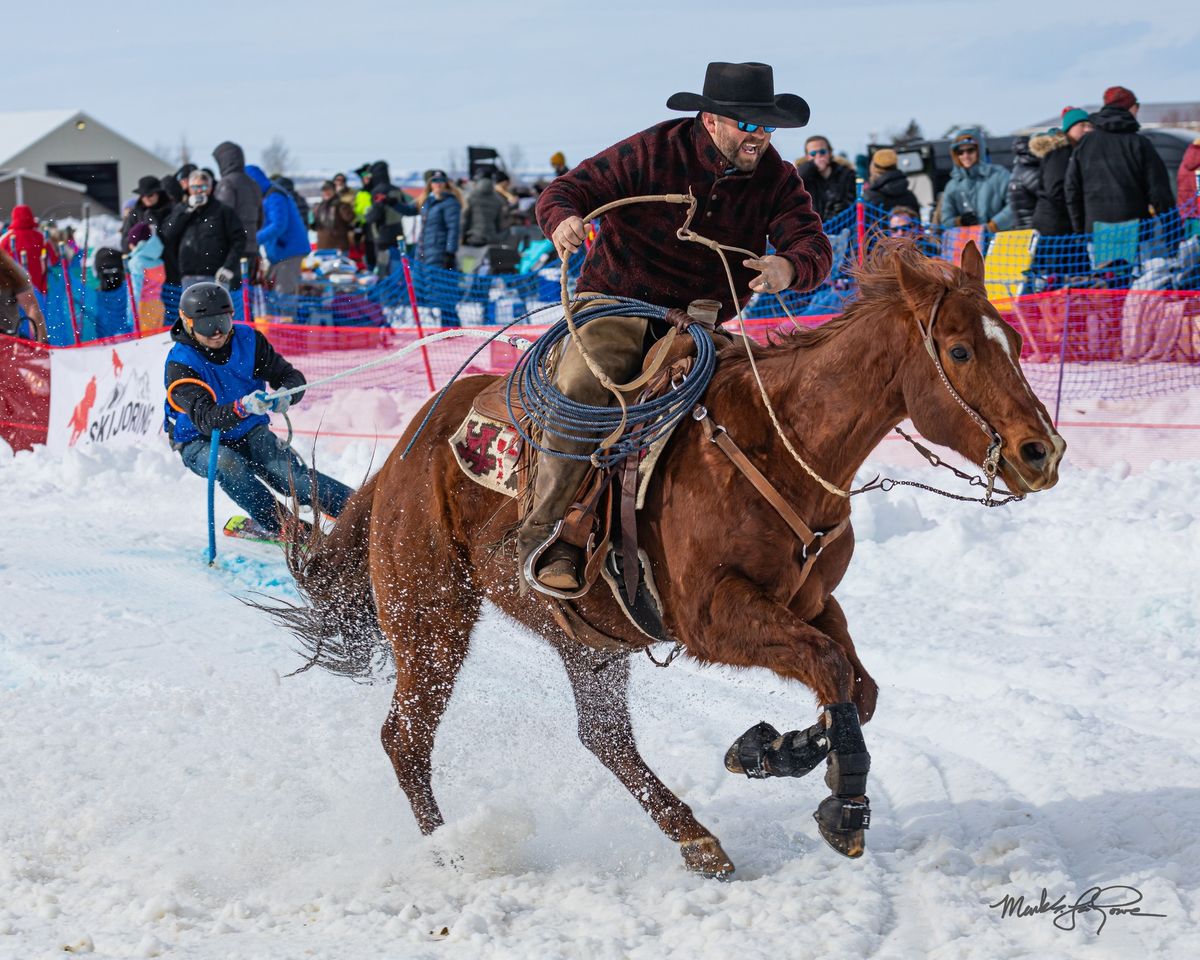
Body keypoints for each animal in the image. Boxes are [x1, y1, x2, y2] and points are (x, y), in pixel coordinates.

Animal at [272, 240, 1070, 878]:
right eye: (960, 350)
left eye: (1015, 343)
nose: (1043, 452)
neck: (775, 446)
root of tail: (407, 450)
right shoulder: (712, 616)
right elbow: (832, 670)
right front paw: (842, 806)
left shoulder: (813, 602)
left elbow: (857, 686)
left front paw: (768, 750)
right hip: (431, 617)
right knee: (405, 739)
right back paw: (455, 852)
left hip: (587, 639)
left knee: (605, 739)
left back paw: (696, 838)